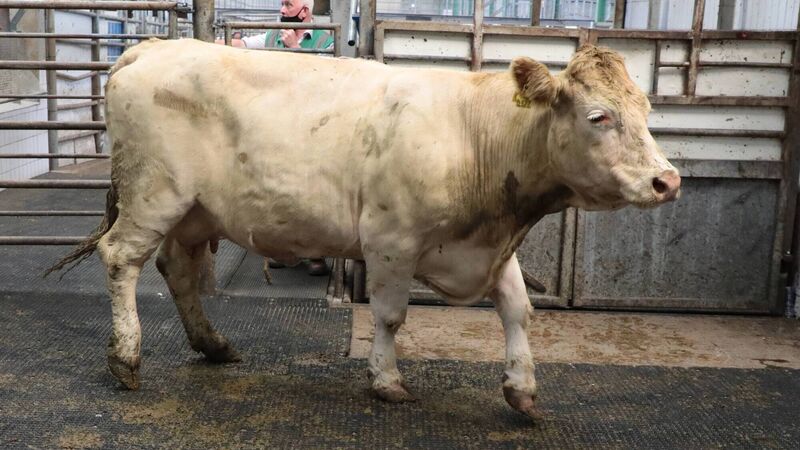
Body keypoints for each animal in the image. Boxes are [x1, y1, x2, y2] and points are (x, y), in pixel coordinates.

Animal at [48, 39, 680, 419]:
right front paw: (386, 379)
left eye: (648, 112)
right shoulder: (391, 239)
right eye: (599, 116)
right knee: (122, 258)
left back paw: (214, 344)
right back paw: (126, 359)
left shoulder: (493, 248)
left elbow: (518, 310)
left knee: (175, 270)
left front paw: (522, 390)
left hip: (194, 211)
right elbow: (391, 315)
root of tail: (152, 47)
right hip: (155, 194)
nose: (667, 181)